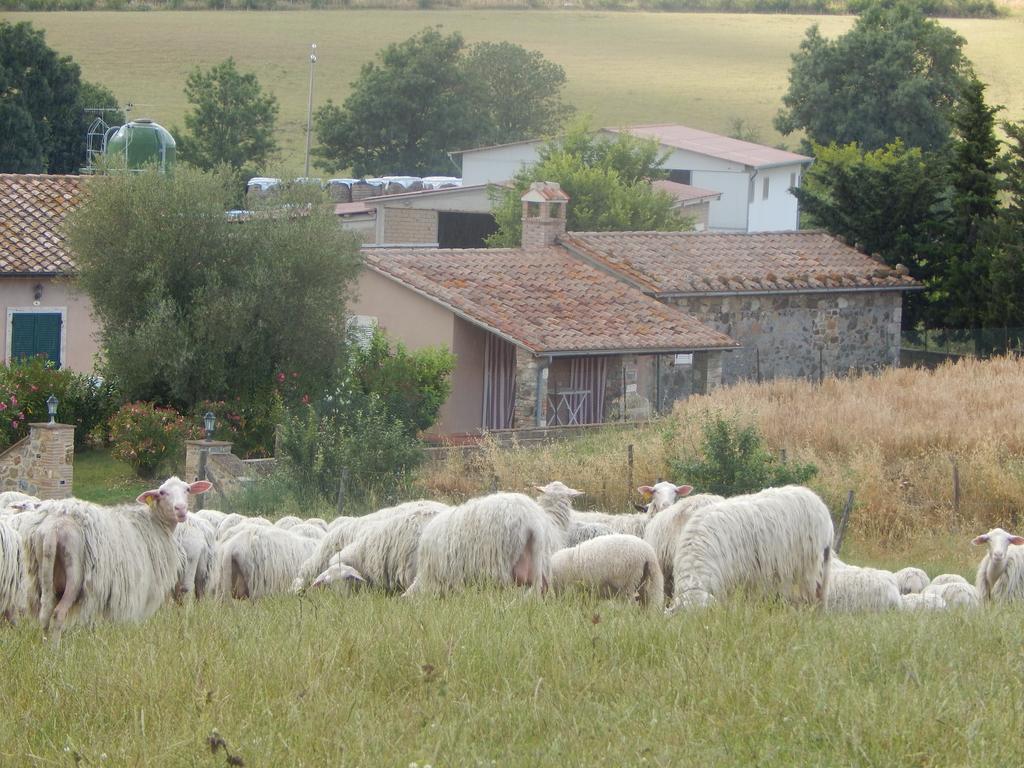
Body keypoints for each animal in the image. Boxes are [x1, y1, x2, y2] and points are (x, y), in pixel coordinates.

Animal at [23, 479, 210, 638]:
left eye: (187, 489)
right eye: (162, 492)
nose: (181, 509)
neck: (153, 524)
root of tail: (53, 527)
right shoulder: (135, 590)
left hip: (46, 575)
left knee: (45, 614)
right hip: (74, 575)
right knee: (58, 614)